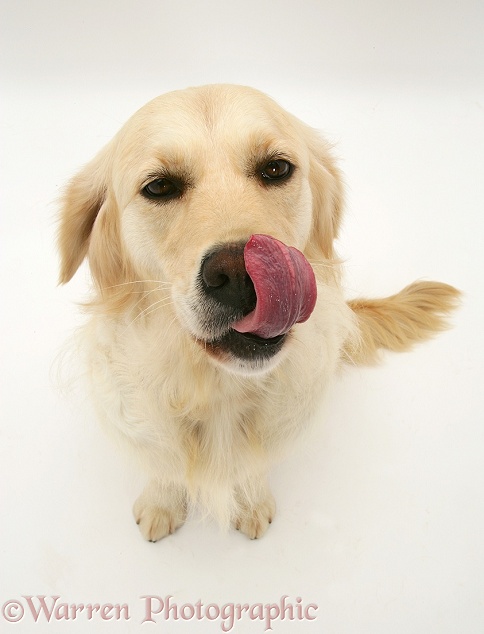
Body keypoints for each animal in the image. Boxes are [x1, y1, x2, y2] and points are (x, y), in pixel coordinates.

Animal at [58, 82, 460, 540]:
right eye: (158, 187)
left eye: (275, 168)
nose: (239, 274)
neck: (216, 387)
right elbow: (165, 467)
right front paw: (162, 503)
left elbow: (249, 469)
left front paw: (250, 502)